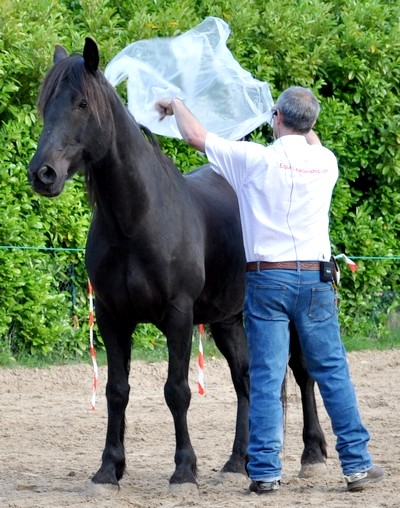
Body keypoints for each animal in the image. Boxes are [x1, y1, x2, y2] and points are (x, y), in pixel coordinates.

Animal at [28, 36, 328, 488]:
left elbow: (177, 390)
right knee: (246, 380)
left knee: (302, 370)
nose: (42, 173)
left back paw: (312, 453)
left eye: (81, 103)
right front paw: (109, 468)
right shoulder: (113, 317)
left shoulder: (178, 316)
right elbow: (117, 390)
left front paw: (184, 468)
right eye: (46, 104)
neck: (136, 222)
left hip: (290, 312)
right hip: (229, 320)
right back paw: (238, 460)